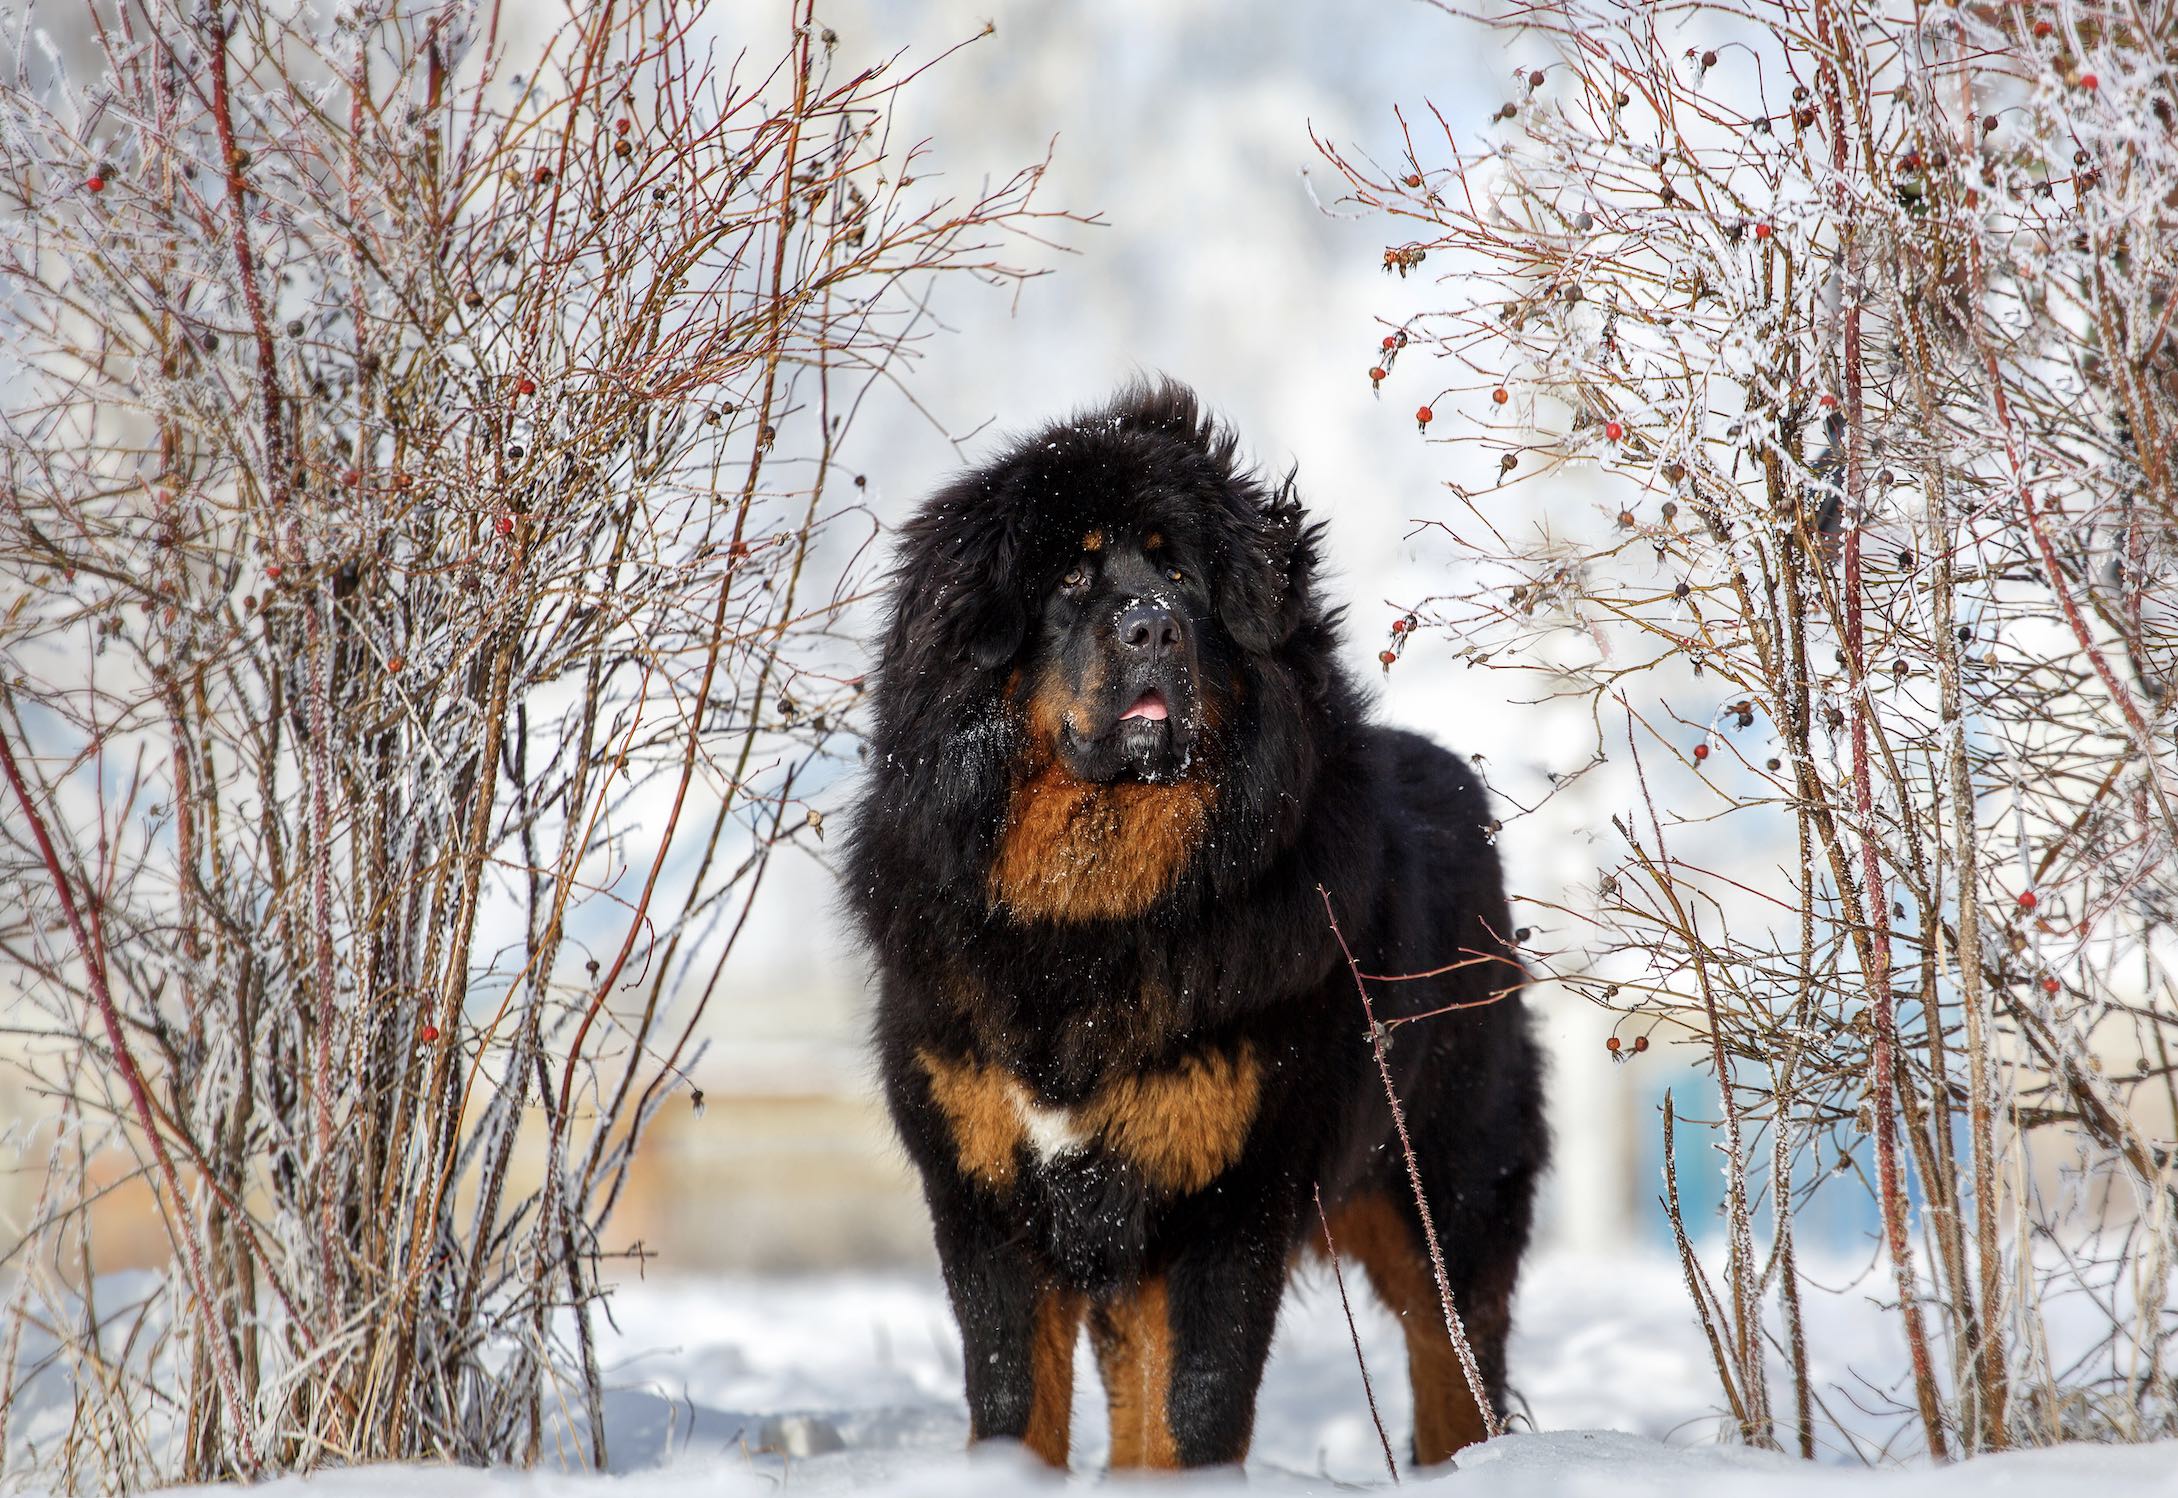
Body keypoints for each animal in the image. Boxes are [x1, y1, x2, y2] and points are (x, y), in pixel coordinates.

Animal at [840, 381, 1542, 1471]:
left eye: (1178, 574)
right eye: (1073, 576)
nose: (1152, 628)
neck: (1089, 917)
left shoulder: (1226, 1202)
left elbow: (1195, 1409)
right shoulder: (987, 1199)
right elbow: (1016, 1405)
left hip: (1446, 1200)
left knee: (1455, 1373)